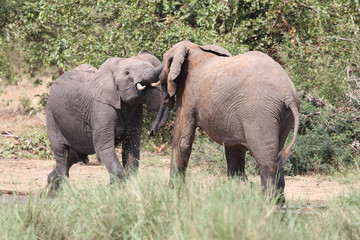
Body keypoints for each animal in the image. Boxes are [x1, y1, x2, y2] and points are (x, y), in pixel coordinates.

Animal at [45, 49, 168, 188]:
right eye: (127, 73)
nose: (152, 132)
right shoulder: (100, 109)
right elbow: (104, 148)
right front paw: (114, 187)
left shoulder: (135, 110)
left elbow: (131, 147)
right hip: (51, 116)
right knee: (62, 154)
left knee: (72, 156)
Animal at [159, 41, 300, 201]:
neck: (194, 48)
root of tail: (288, 94)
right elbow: (234, 148)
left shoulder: (187, 92)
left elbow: (182, 141)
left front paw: (172, 195)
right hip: (282, 116)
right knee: (278, 156)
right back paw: (278, 204)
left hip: (260, 114)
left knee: (267, 161)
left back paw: (268, 203)